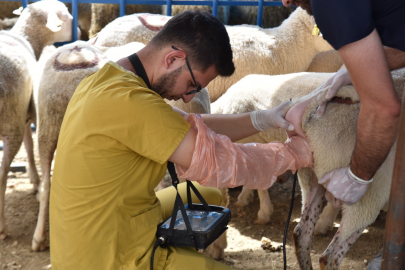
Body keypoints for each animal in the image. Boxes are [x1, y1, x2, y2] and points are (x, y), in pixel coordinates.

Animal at [0, 0, 76, 243]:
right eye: (66, 17)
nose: (79, 32)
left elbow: (29, 143)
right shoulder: (22, 115)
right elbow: (29, 143)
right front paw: (34, 180)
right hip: (11, 122)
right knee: (2, 176)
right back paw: (3, 227)